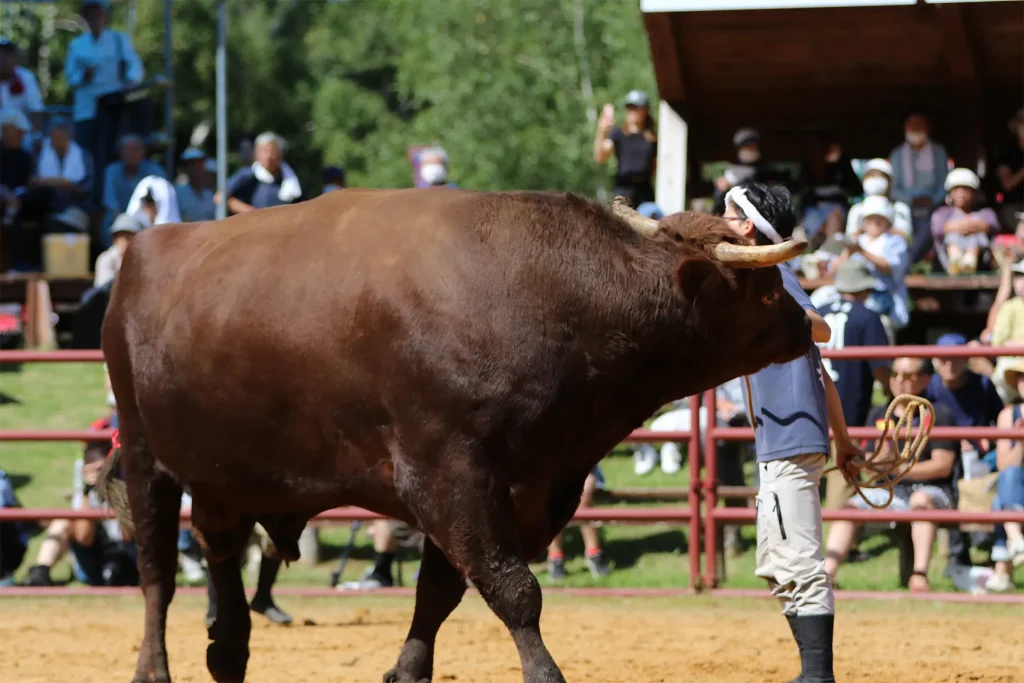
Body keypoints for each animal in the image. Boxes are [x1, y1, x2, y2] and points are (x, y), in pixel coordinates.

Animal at [99, 188, 811, 683]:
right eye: (766, 291)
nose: (812, 325)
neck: (556, 301)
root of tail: (145, 249)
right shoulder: (449, 475)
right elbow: (515, 592)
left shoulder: (519, 485)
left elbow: (438, 595)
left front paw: (406, 671)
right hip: (145, 456)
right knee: (158, 572)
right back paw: (155, 667)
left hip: (227, 476)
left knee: (218, 552)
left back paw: (228, 648)